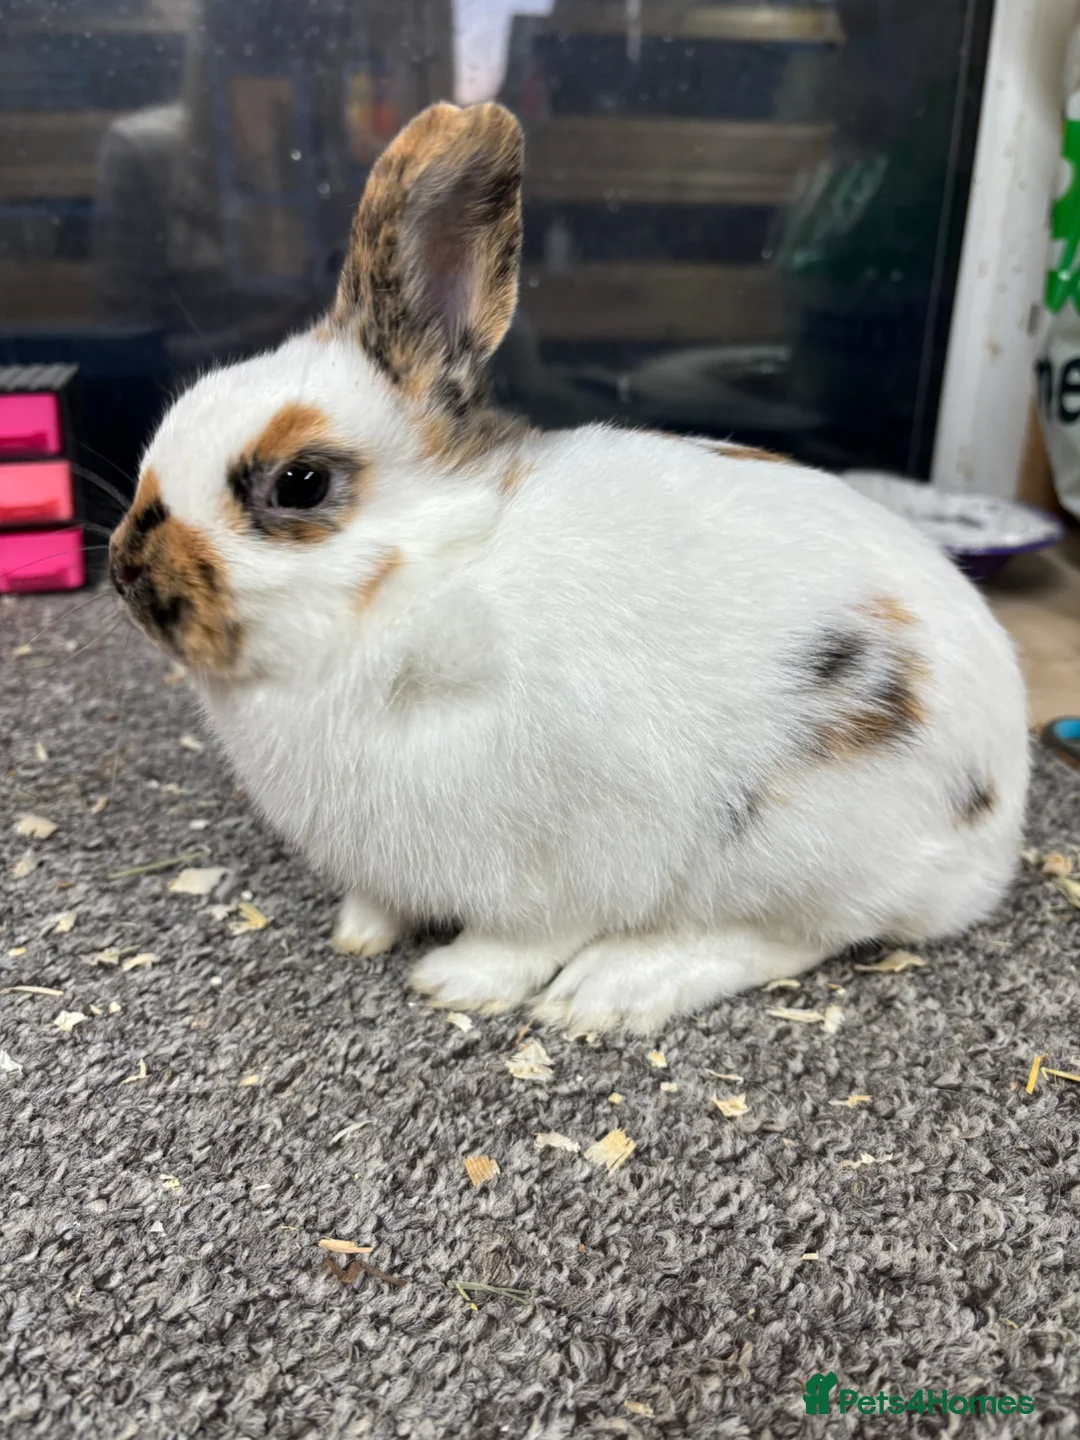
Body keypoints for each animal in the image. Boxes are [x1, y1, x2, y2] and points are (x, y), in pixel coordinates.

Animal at [109, 101, 1030, 1035]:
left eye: (299, 483)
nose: (126, 574)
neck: (426, 586)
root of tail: (999, 837)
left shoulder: (564, 860)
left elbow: (526, 935)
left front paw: (457, 981)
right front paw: (361, 931)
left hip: (801, 844)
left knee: (791, 936)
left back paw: (614, 989)